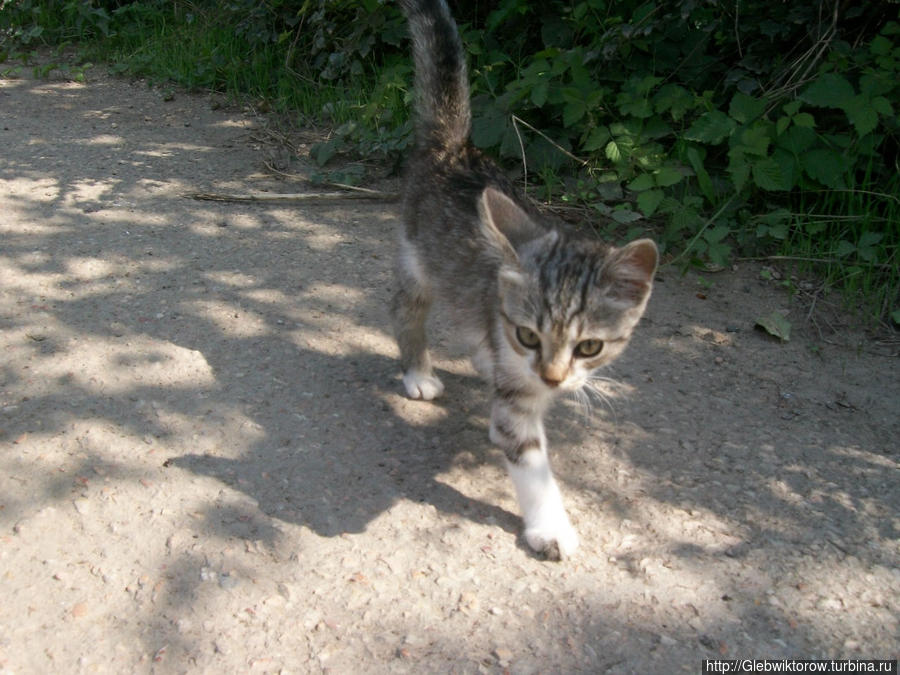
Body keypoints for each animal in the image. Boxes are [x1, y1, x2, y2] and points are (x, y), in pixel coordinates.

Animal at [398, 0, 656, 560]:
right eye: (528, 335)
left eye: (589, 347)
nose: (553, 378)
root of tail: (454, 147)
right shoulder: (518, 394)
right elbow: (529, 457)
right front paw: (550, 525)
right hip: (418, 260)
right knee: (405, 310)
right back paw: (416, 370)